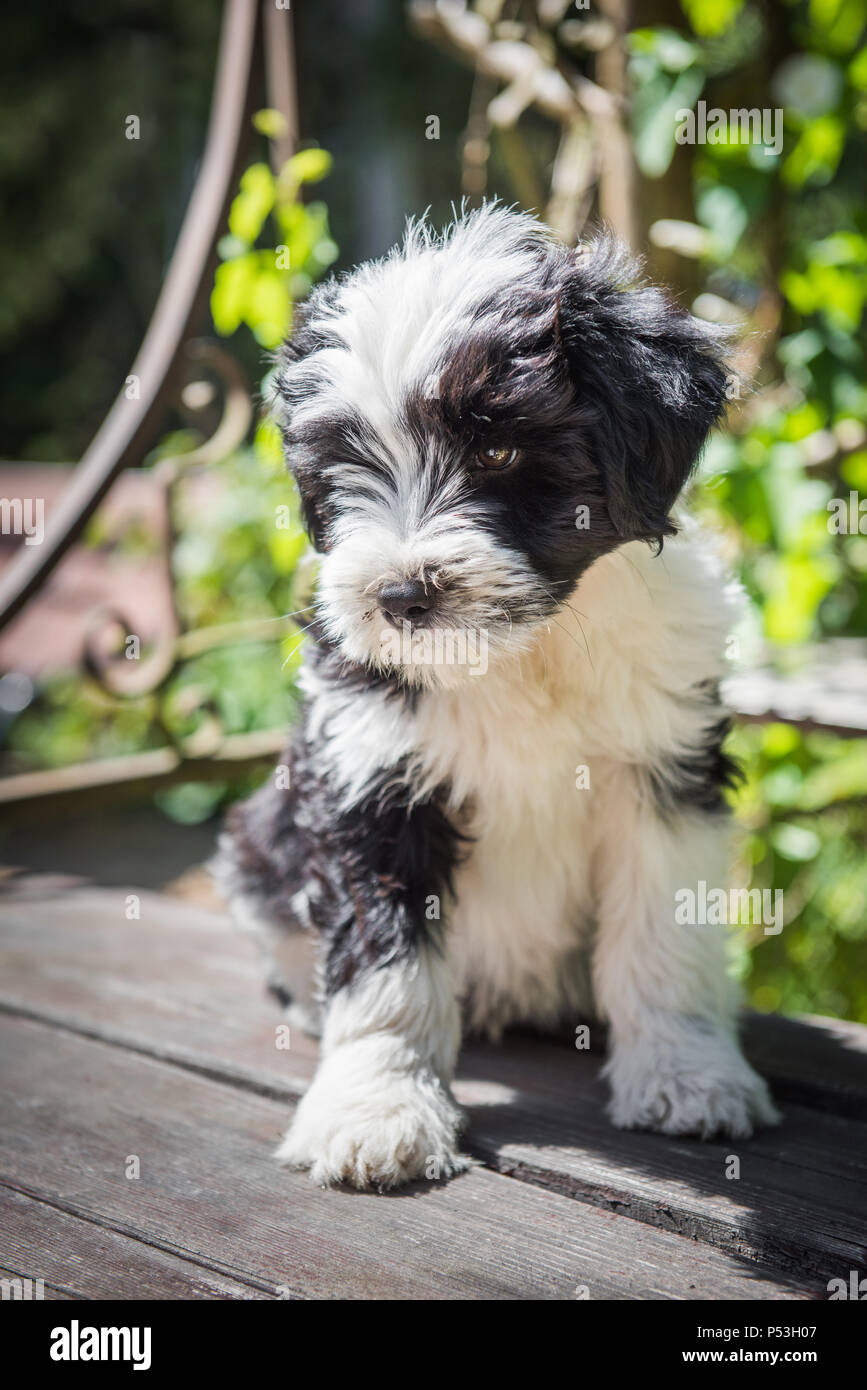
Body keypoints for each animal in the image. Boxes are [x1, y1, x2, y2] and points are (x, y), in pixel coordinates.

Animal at [215, 202, 778, 1184]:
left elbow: (664, 933)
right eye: (344, 466)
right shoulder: (370, 776)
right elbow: (382, 956)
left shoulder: (662, 767)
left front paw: (686, 1076)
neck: (522, 653)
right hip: (259, 843)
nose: (400, 596)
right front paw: (376, 1109)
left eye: (499, 446)